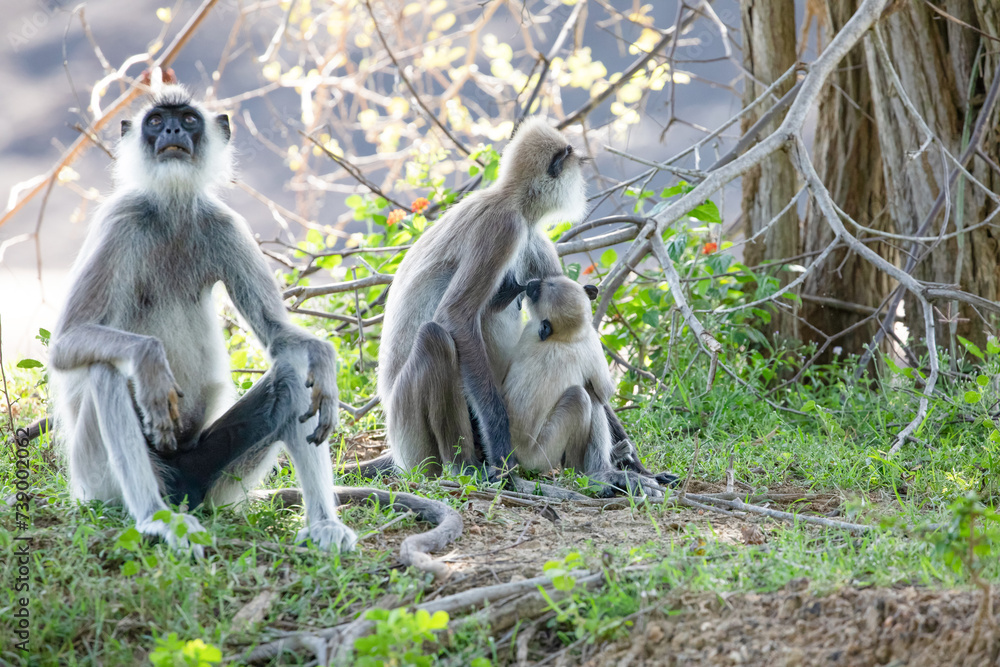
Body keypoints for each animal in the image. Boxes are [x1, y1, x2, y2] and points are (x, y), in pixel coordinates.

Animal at [50, 86, 358, 556]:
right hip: (96, 483)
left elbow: (280, 338)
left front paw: (323, 361)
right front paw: (150, 360)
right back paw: (155, 519)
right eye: (156, 121)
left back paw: (324, 523)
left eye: (189, 120)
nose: (173, 132)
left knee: (291, 372)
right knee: (107, 370)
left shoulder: (224, 224)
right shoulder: (121, 218)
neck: (172, 209)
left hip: (213, 482)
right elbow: (67, 342)